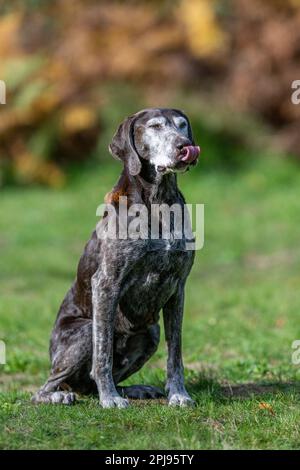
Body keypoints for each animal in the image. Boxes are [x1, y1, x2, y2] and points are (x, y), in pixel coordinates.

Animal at [32, 109, 199, 408]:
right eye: (155, 126)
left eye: (182, 126)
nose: (184, 146)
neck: (159, 202)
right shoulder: (106, 284)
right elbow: (103, 355)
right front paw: (109, 398)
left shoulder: (177, 288)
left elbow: (175, 353)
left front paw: (178, 394)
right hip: (84, 332)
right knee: (44, 387)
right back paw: (60, 395)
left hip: (150, 333)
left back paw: (134, 389)